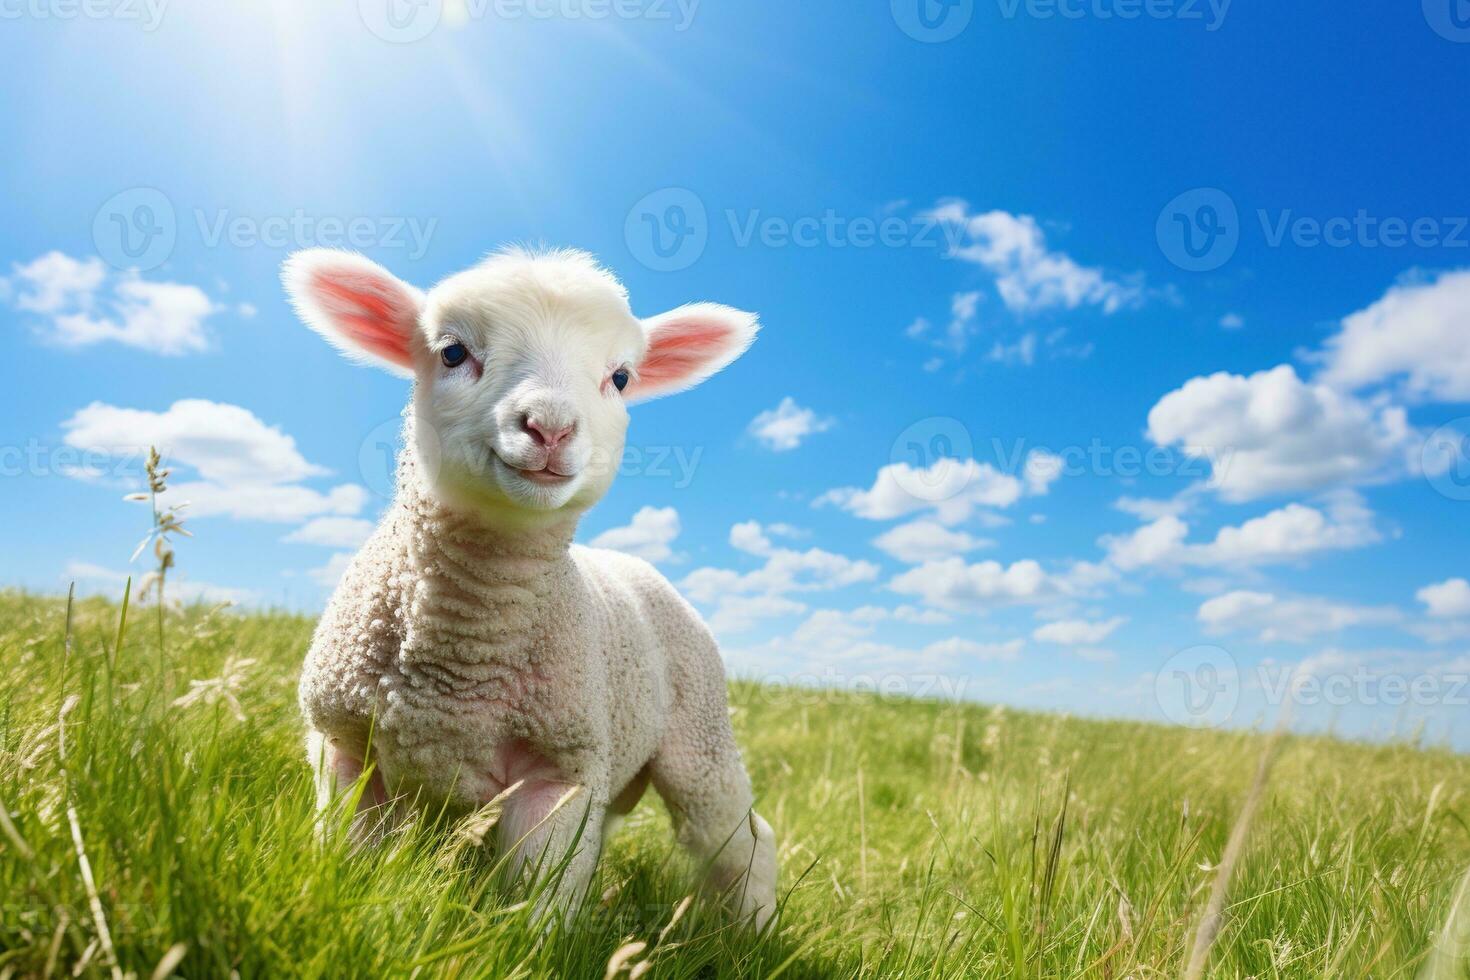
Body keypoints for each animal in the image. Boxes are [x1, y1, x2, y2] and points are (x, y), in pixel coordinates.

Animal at [279, 243, 776, 928]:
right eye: (452, 352)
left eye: (621, 377)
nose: (550, 427)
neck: (464, 655)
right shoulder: (346, 744)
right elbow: (350, 862)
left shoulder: (561, 771)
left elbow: (538, 909)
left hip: (698, 736)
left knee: (742, 837)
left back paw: (752, 931)